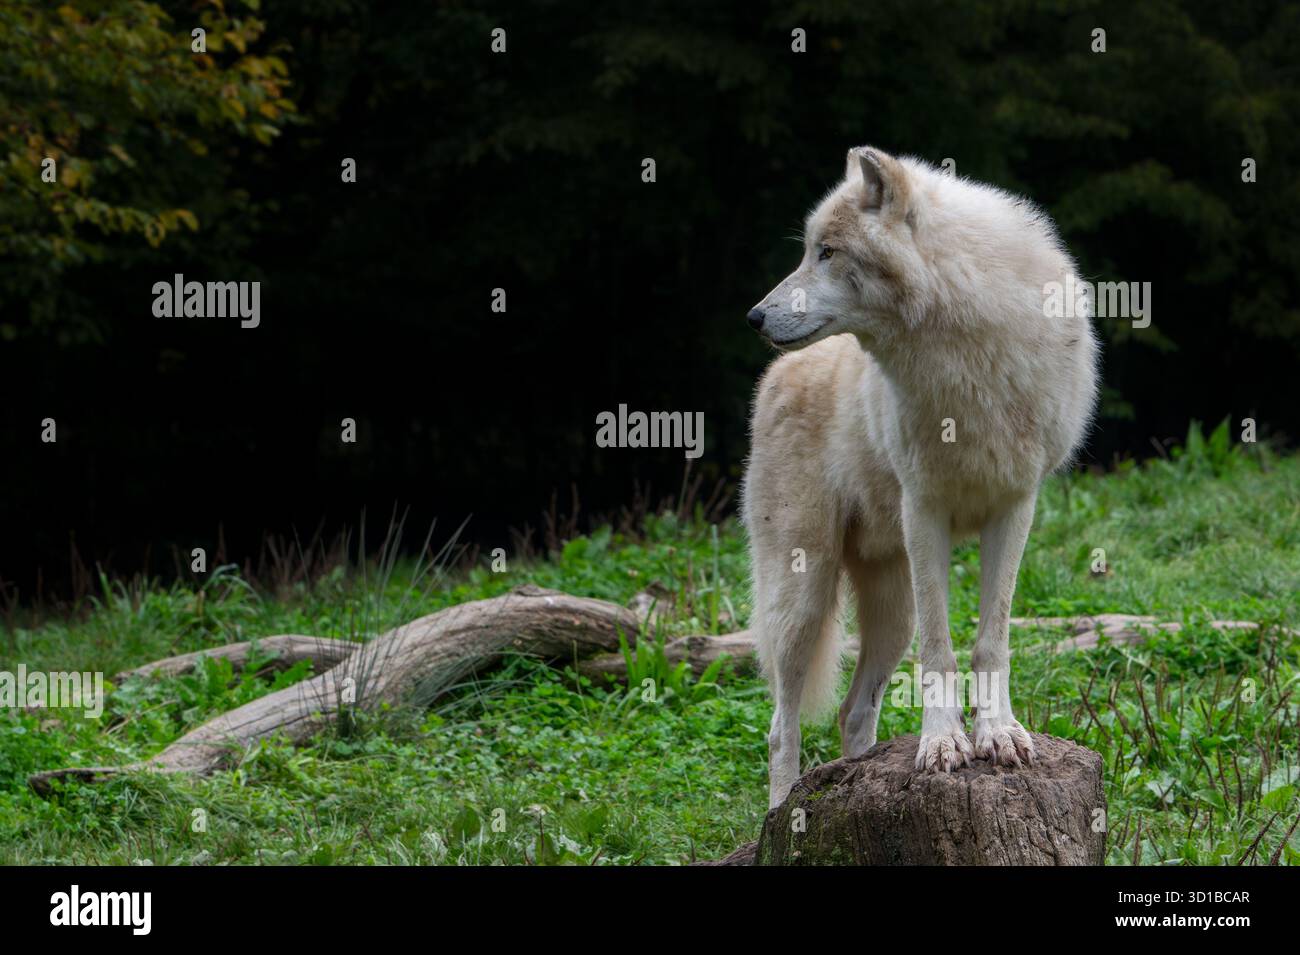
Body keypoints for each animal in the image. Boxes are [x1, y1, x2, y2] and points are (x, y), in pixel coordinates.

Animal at [742, 146, 1098, 808]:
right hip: (803, 594)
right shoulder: (924, 510)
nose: (753, 316)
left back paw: (854, 772)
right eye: (809, 250)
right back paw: (782, 813)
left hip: (891, 609)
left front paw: (998, 734)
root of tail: (777, 375)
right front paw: (941, 745)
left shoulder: (1016, 506)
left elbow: (991, 640)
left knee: (854, 711)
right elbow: (941, 650)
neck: (963, 352)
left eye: (827, 252)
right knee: (782, 726)